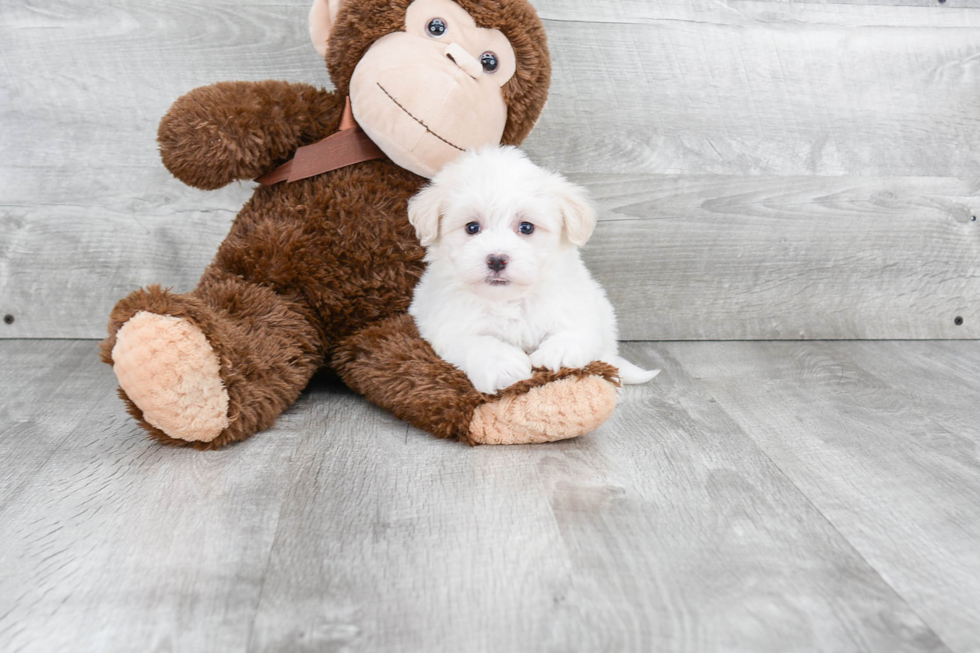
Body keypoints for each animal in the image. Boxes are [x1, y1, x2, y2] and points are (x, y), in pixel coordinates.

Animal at [406, 145, 660, 394]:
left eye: (526, 227)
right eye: (472, 227)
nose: (496, 260)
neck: (509, 299)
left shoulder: (577, 303)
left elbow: (578, 328)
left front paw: (559, 353)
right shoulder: (447, 324)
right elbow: (477, 342)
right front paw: (502, 365)